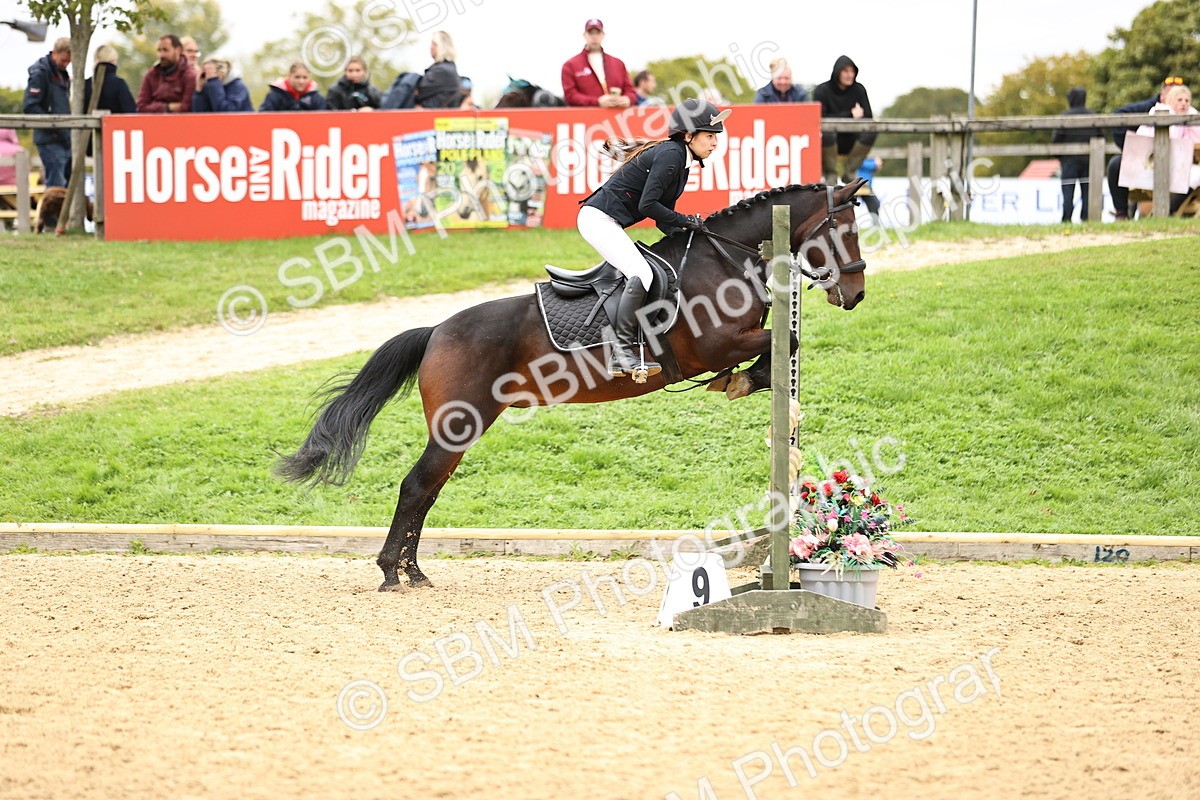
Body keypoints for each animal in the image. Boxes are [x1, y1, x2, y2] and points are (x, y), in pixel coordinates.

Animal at [276, 179, 869, 591]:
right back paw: (392, 573)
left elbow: (782, 346)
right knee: (416, 486)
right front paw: (743, 382)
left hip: (462, 429)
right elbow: (783, 344)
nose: (857, 294)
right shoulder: (716, 344)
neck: (723, 258)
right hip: (458, 423)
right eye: (844, 231)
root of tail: (437, 331)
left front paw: (742, 384)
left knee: (428, 489)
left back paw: (414, 571)